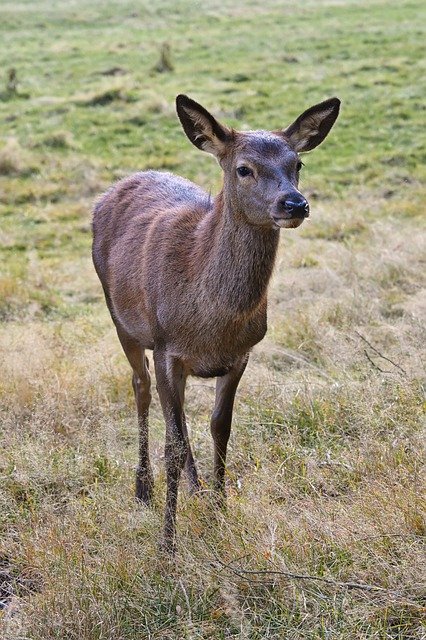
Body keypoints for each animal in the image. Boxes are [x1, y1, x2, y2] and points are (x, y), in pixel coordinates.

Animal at [92, 94, 340, 552]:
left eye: (297, 163)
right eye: (244, 168)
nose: (294, 203)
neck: (212, 322)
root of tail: (115, 186)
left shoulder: (242, 353)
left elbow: (218, 428)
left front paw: (220, 510)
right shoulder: (168, 346)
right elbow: (172, 444)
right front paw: (168, 541)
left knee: (178, 417)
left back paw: (196, 489)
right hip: (121, 319)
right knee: (141, 388)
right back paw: (143, 487)